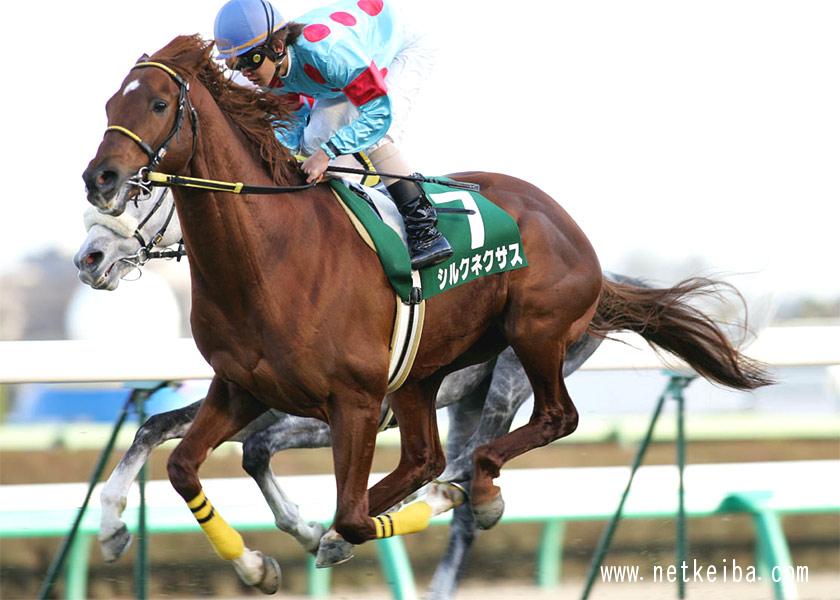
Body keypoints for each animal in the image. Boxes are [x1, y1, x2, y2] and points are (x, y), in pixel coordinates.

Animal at [76, 174, 618, 598]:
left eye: (143, 195)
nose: (89, 258)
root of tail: (600, 276)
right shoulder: (253, 398)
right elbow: (157, 427)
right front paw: (112, 529)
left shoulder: (332, 410)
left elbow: (256, 451)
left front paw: (313, 531)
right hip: (467, 400)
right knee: (456, 463)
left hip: (511, 377)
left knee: (474, 457)